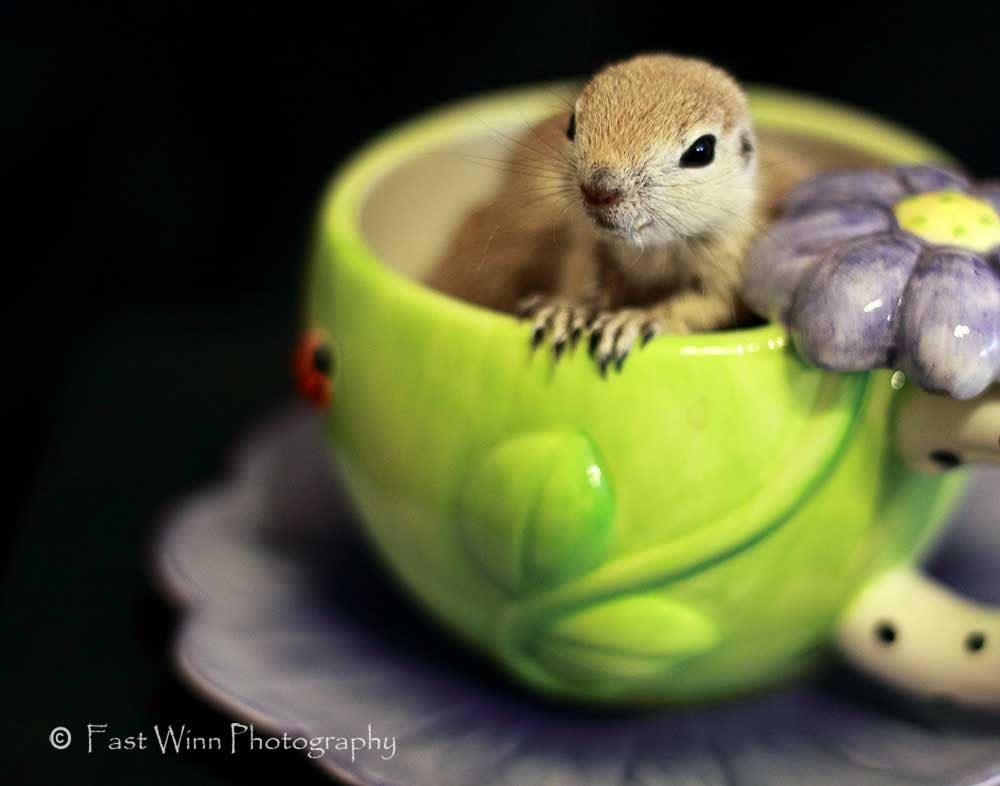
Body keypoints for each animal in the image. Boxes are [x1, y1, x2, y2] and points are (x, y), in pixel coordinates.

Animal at [425, 53, 880, 371]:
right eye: (572, 124)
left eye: (701, 150)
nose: (598, 189)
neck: (652, 249)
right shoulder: (585, 240)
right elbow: (578, 271)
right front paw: (566, 311)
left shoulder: (732, 254)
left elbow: (710, 303)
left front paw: (633, 321)